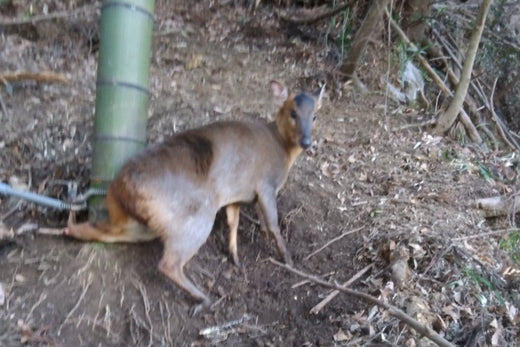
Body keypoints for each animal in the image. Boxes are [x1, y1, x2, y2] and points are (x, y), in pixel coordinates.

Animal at [65, 80, 324, 314]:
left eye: (315, 116)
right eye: (293, 112)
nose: (307, 142)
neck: (282, 150)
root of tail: (122, 184)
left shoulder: (235, 195)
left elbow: (233, 222)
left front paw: (235, 256)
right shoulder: (266, 185)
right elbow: (272, 223)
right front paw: (288, 260)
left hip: (128, 218)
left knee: (102, 231)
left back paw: (68, 224)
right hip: (194, 217)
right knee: (168, 264)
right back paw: (203, 300)